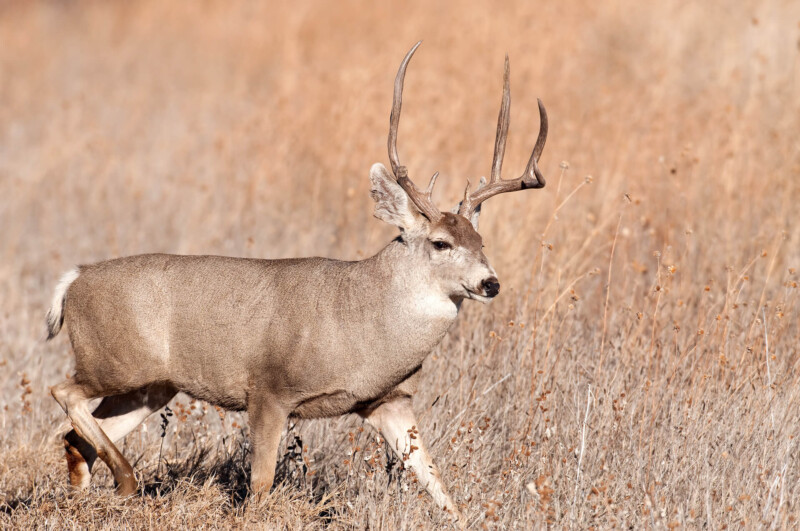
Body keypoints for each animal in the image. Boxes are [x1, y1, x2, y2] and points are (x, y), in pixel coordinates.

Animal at [47, 42, 548, 524]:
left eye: (481, 241)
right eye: (441, 243)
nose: (490, 283)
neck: (362, 321)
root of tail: (76, 278)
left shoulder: (389, 399)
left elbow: (440, 488)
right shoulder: (269, 389)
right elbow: (261, 487)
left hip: (151, 385)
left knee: (76, 437)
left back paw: (90, 499)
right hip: (115, 363)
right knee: (63, 394)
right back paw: (126, 480)